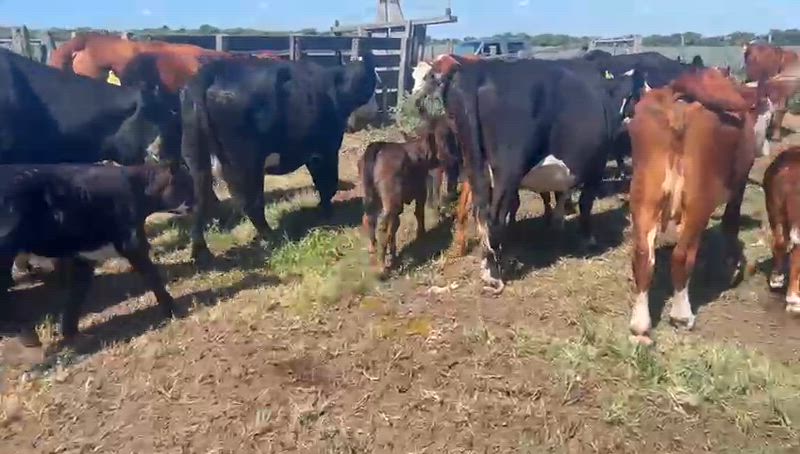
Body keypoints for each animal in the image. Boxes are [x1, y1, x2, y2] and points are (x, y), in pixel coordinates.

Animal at [0, 160, 194, 348]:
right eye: (186, 184)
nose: (195, 202)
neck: (140, 187)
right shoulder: (133, 245)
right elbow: (153, 276)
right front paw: (173, 309)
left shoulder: (84, 259)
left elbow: (76, 295)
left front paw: (72, 334)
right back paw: (27, 335)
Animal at [181, 48, 378, 264]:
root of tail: (209, 74)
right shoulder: (325, 149)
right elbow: (327, 184)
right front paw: (326, 212)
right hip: (246, 161)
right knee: (251, 203)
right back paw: (271, 236)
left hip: (196, 156)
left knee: (201, 200)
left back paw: (201, 252)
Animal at [416, 54, 639, 292]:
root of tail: (476, 71)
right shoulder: (595, 165)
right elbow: (585, 204)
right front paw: (588, 239)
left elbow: (561, 196)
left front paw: (557, 225)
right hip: (507, 171)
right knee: (494, 216)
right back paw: (495, 275)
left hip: (475, 165)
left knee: (480, 212)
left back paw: (487, 267)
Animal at [627, 68, 775, 345]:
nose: (766, 148)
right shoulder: (739, 180)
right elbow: (730, 222)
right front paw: (732, 264)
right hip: (697, 200)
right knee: (682, 255)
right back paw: (682, 314)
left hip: (644, 197)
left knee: (643, 256)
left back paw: (640, 325)